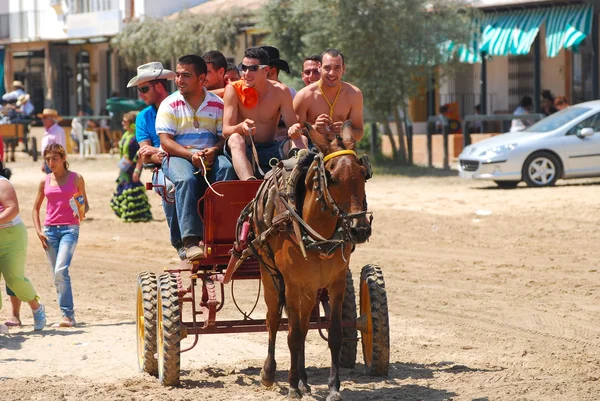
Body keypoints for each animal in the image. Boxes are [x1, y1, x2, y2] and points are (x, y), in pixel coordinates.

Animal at [252, 120, 370, 398]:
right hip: (271, 276)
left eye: (363, 173)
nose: (360, 229)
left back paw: (304, 380)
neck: (317, 233)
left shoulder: (335, 282)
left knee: (304, 324)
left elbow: (333, 333)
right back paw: (270, 373)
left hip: (310, 289)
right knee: (273, 320)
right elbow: (292, 335)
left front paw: (333, 387)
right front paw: (292, 387)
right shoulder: (292, 284)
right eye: (332, 178)